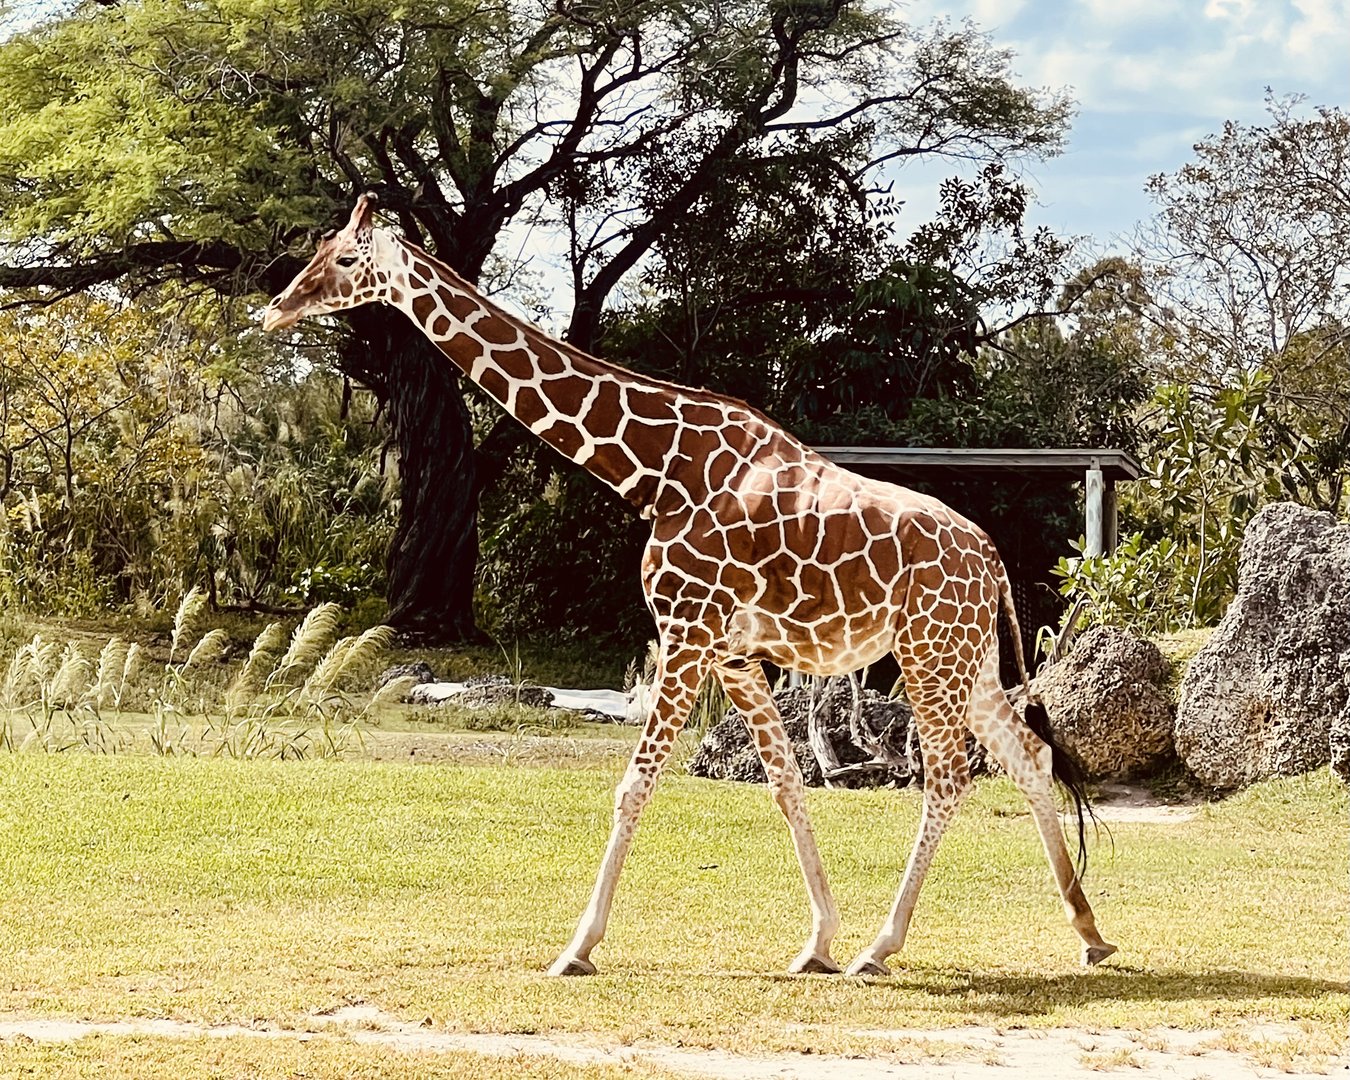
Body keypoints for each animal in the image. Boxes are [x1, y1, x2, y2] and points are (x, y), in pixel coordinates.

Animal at [264, 193, 1118, 977]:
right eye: (321, 248)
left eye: (345, 259)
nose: (275, 308)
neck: (653, 470)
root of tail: (993, 558)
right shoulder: (733, 652)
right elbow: (786, 785)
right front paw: (816, 941)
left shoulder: (686, 633)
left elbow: (634, 786)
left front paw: (577, 946)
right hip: (965, 660)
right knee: (1026, 757)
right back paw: (1089, 934)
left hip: (928, 656)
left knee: (948, 776)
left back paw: (883, 947)